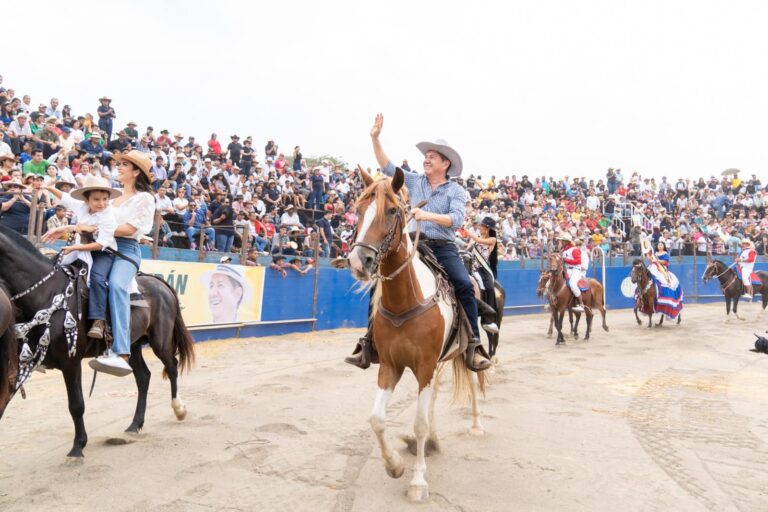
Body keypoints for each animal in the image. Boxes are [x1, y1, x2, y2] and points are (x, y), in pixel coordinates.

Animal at [0, 226, 195, 458]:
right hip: (132, 344)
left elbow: (76, 404)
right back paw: (135, 424)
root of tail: (158, 282)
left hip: (161, 341)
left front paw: (78, 446)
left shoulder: (71, 362)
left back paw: (179, 409)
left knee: (172, 367)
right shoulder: (22, 362)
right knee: (143, 377)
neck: (45, 293)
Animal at [348, 167, 486, 500]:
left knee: (472, 380)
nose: (359, 261)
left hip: (461, 353)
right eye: (358, 209)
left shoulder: (423, 366)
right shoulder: (390, 365)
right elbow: (377, 418)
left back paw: (476, 425)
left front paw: (418, 481)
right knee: (434, 396)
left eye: (392, 210)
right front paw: (394, 466)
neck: (406, 299)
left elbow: (420, 422)